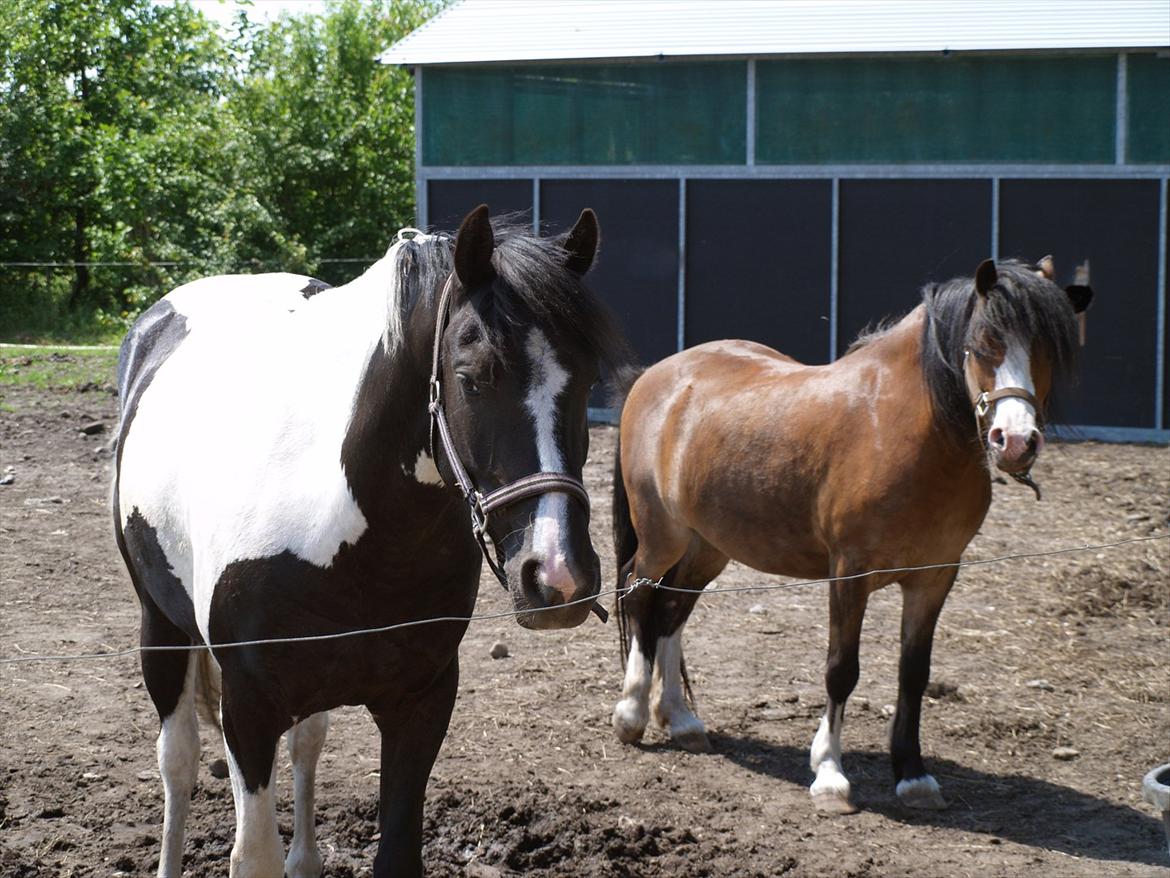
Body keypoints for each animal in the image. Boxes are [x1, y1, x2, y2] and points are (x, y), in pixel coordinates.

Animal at [112, 204, 628, 877]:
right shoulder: (249, 710)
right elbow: (251, 853)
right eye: (471, 377)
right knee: (178, 761)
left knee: (307, 745)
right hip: (163, 629)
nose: (558, 575)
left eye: (588, 380)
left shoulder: (421, 703)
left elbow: (395, 847)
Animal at [609, 257, 1092, 814]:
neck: (903, 430)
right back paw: (631, 714)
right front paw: (830, 774)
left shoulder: (935, 577)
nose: (1015, 442)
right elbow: (842, 669)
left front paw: (913, 774)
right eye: (985, 340)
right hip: (661, 536)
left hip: (708, 545)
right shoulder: (850, 573)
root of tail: (656, 376)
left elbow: (914, 672)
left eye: (1049, 348)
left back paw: (681, 720)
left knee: (673, 607)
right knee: (640, 596)